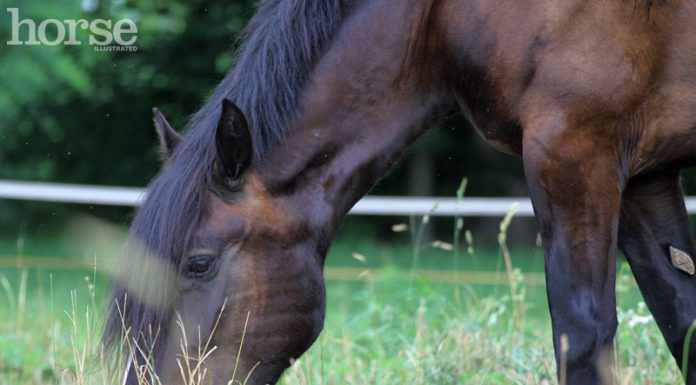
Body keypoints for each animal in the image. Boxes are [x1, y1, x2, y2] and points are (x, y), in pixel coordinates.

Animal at [103, 0, 696, 384]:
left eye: (199, 264)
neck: (444, 17)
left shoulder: (575, 153)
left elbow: (582, 336)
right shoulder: (643, 177)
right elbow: (681, 320)